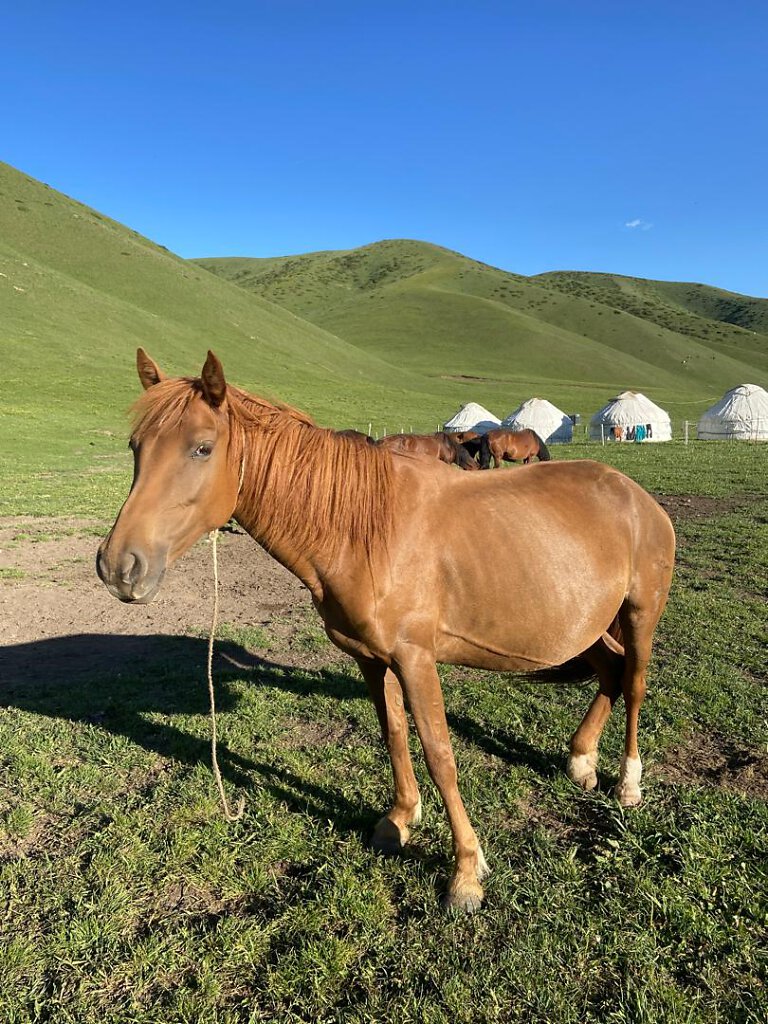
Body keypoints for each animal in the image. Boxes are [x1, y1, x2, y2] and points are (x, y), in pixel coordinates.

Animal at [97, 352, 679, 913]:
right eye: (135, 447)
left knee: (634, 684)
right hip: (586, 626)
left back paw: (628, 783)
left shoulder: (415, 659)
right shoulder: (373, 659)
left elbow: (440, 755)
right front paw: (400, 818)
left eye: (202, 448)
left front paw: (466, 872)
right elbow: (394, 734)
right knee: (611, 672)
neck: (361, 530)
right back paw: (581, 760)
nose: (118, 567)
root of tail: (634, 495)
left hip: (639, 614)